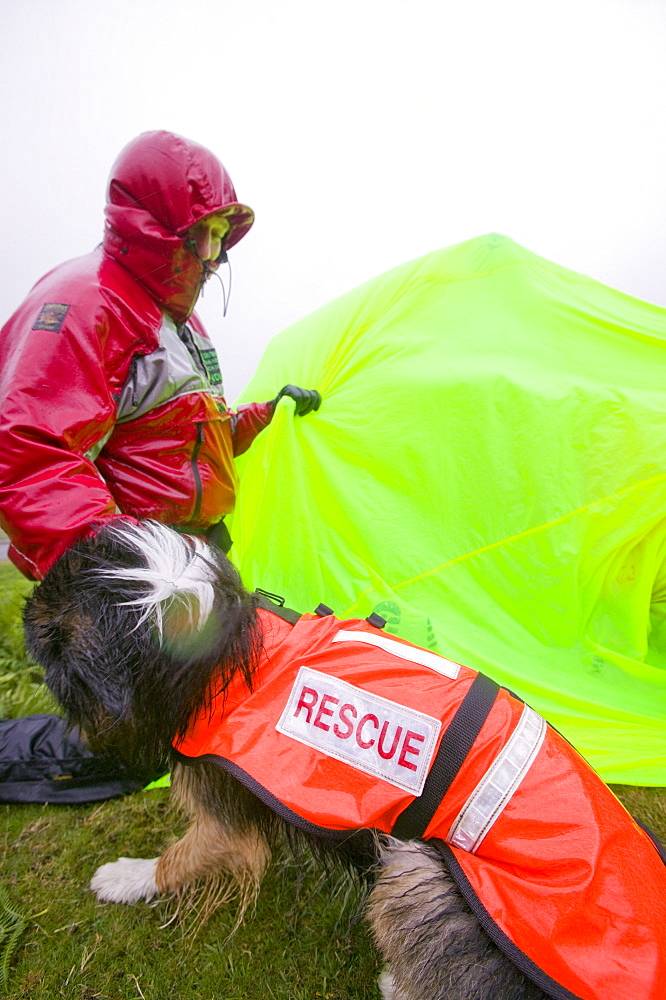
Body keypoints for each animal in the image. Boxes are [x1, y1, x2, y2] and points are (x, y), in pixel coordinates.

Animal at [22, 520, 664, 996]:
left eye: (55, 635)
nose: (26, 614)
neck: (224, 656)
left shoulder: (225, 825)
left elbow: (179, 858)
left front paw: (125, 878)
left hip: (418, 870)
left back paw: (394, 983)